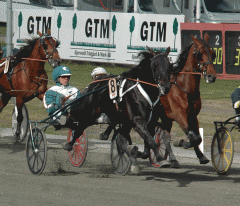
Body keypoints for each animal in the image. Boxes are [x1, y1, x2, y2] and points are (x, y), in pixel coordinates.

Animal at [144, 33, 218, 167]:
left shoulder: (193, 116)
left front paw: (201, 156)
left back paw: (172, 159)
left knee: (165, 135)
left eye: (212, 53)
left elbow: (198, 137)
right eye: (199, 53)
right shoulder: (180, 115)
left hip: (166, 117)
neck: (185, 88)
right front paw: (182, 143)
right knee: (152, 130)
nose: (211, 76)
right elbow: (193, 137)